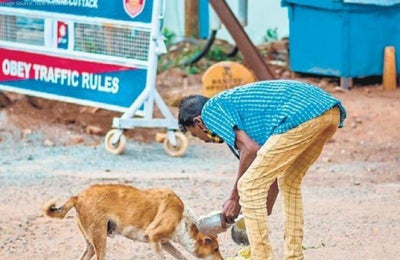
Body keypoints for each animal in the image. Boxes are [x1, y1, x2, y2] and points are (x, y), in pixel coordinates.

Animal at [44, 184, 225, 258]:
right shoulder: (153, 237)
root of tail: (77, 197)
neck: (182, 218)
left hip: (91, 245)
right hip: (100, 240)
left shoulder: (165, 242)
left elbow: (181, 256)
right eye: (215, 249)